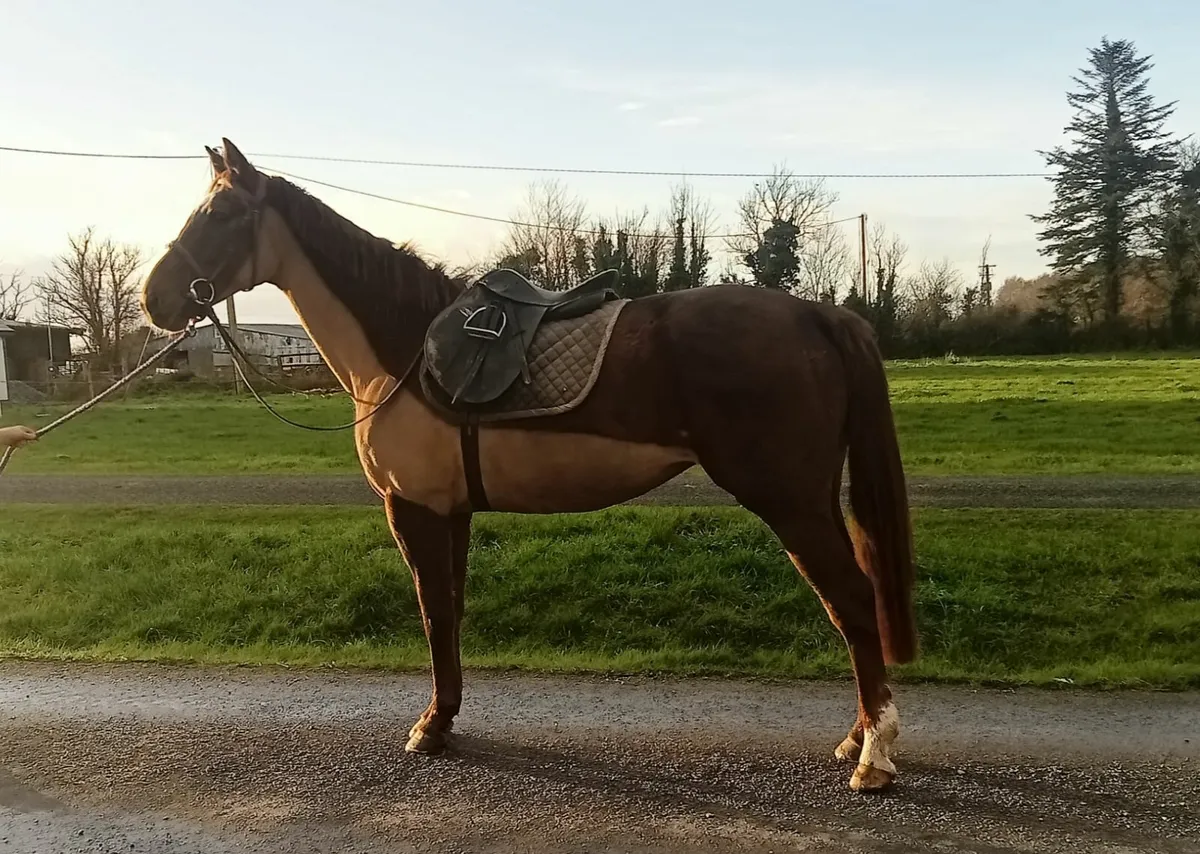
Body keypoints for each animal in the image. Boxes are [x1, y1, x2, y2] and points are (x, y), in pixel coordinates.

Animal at [139, 138, 918, 793]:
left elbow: (433, 614)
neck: (402, 352)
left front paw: (429, 729)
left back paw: (874, 759)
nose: (155, 299)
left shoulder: (413, 510)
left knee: (852, 601)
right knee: (853, 604)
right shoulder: (450, 512)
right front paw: (445, 719)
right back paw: (857, 739)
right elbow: (449, 613)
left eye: (222, 214)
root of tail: (818, 316)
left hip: (792, 502)